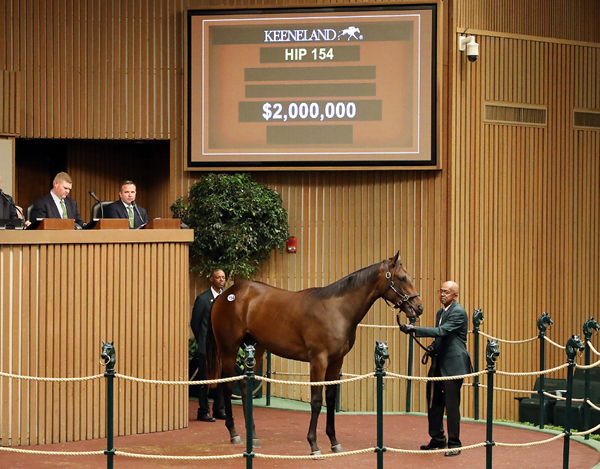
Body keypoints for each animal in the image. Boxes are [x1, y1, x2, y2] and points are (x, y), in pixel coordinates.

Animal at [206, 252, 422, 454]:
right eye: (402, 278)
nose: (419, 307)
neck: (337, 310)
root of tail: (226, 295)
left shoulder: (336, 361)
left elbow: (331, 398)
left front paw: (334, 442)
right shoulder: (318, 360)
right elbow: (317, 401)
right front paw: (314, 444)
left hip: (256, 349)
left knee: (244, 384)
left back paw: (253, 435)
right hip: (229, 349)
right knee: (227, 384)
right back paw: (234, 433)